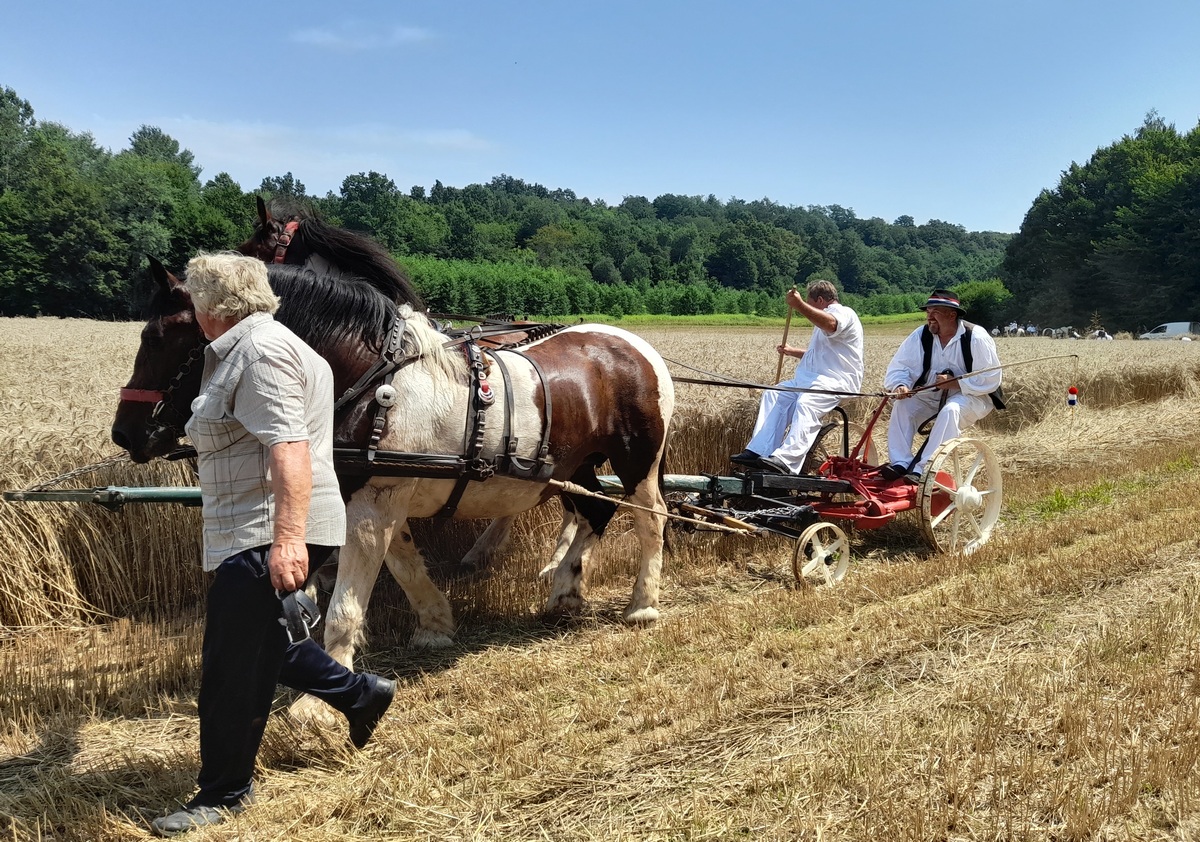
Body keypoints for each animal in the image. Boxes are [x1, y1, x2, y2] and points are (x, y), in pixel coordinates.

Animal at [111, 260, 676, 710]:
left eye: (156, 338)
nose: (125, 433)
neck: (369, 379)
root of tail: (636, 344)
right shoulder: (377, 495)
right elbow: (404, 565)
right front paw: (435, 624)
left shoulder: (374, 500)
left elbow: (346, 604)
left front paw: (316, 706)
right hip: (573, 467)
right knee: (595, 512)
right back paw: (564, 590)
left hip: (638, 463)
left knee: (652, 521)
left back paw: (642, 604)